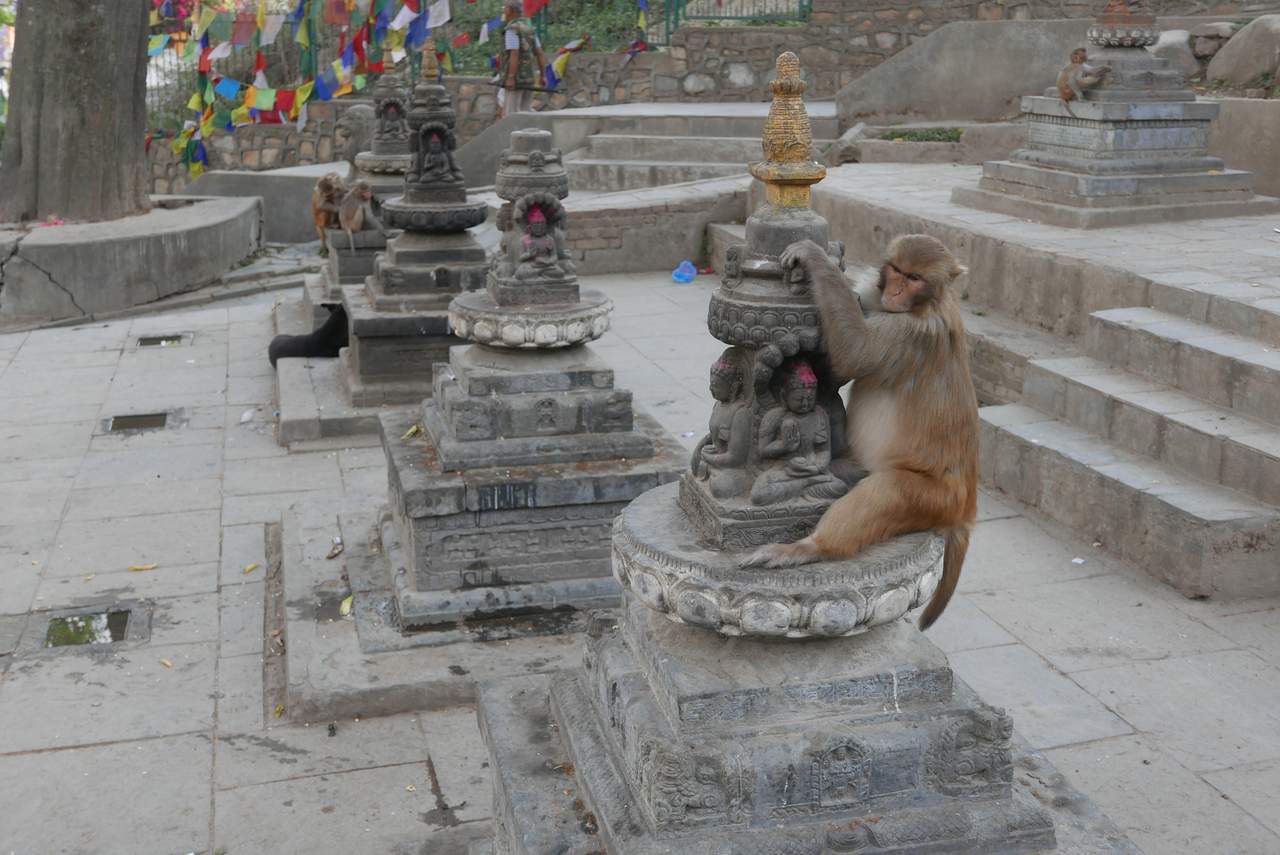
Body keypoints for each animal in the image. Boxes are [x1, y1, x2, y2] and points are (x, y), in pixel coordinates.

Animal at [741, 235, 979, 632]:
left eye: (914, 278)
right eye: (897, 270)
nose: (895, 291)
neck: (926, 304)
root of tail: (965, 508)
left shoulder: (909, 335)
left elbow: (856, 352)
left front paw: (815, 256)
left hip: (934, 498)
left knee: (888, 490)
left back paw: (812, 547)